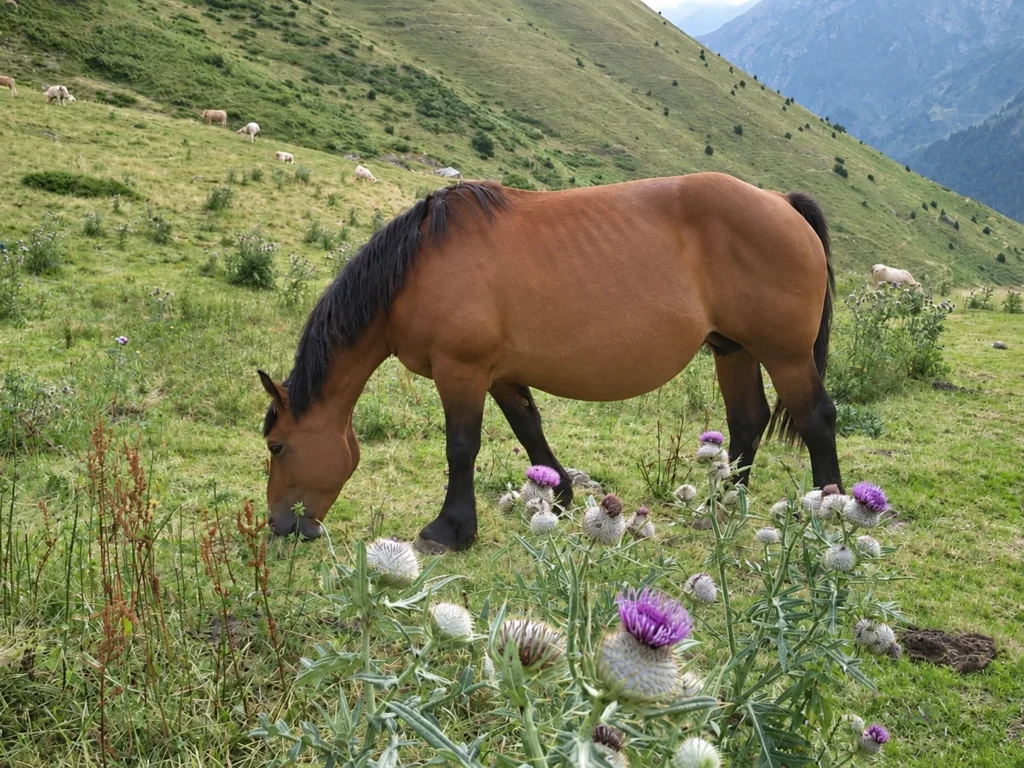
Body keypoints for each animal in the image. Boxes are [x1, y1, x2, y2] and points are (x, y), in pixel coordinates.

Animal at [258, 173, 840, 552]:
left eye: (277, 445)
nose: (282, 526)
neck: (419, 268)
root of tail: (781, 202)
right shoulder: (501, 375)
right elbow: (529, 428)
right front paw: (559, 496)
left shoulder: (461, 371)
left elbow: (461, 448)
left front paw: (449, 530)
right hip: (732, 349)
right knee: (747, 422)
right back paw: (716, 511)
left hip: (785, 355)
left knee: (816, 419)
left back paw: (831, 515)